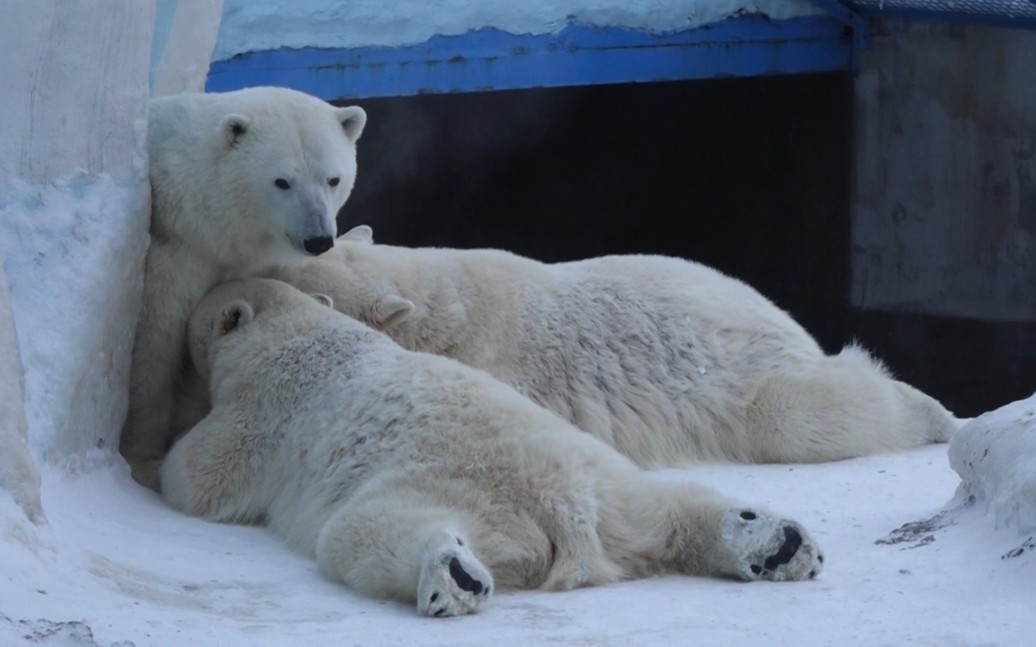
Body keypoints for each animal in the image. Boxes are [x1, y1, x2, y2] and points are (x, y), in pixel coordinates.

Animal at [120, 86, 368, 488]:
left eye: (333, 179)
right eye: (282, 181)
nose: (318, 239)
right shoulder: (175, 246)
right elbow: (153, 340)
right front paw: (142, 459)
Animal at [161, 277, 824, 616]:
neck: (301, 330)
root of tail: (560, 507)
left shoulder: (263, 411)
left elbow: (201, 476)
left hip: (445, 487)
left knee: (369, 532)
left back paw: (450, 576)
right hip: (605, 481)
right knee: (672, 508)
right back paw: (775, 542)